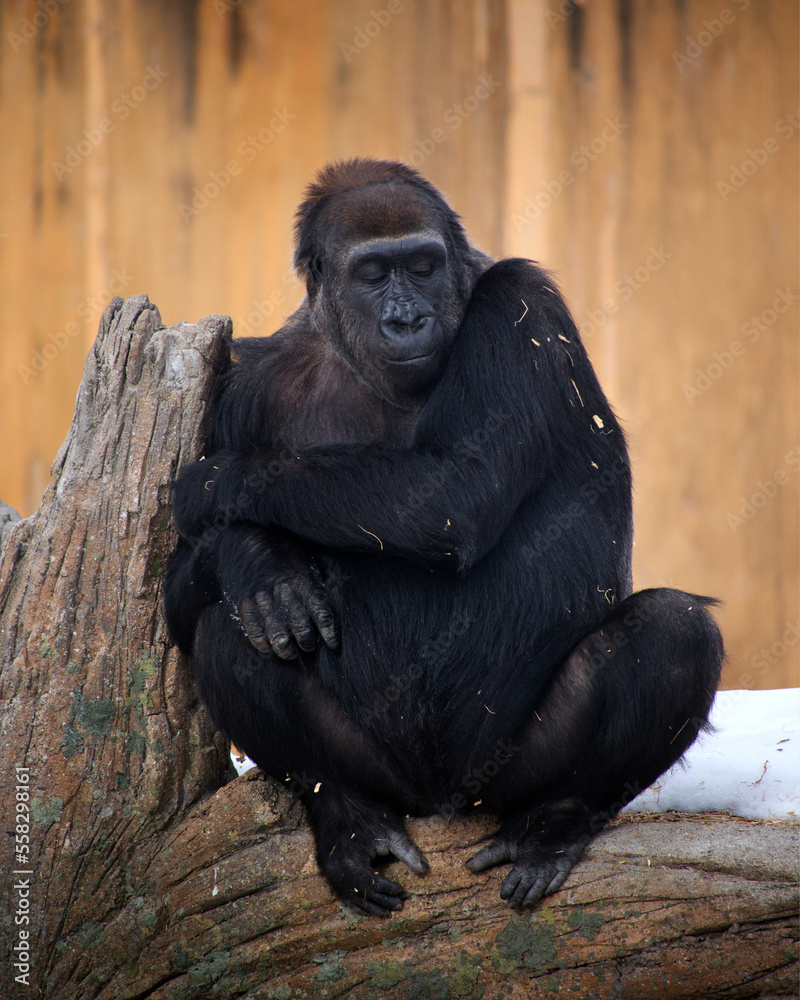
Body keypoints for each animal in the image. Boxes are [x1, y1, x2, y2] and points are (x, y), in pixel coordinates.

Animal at [164, 156, 724, 916]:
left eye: (424, 266)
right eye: (375, 274)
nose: (407, 318)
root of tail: (440, 802)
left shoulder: (522, 303)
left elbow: (453, 492)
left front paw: (222, 488)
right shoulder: (242, 382)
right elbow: (175, 586)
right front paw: (254, 560)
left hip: (509, 775)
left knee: (674, 630)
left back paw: (557, 821)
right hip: (385, 777)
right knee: (230, 633)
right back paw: (346, 814)